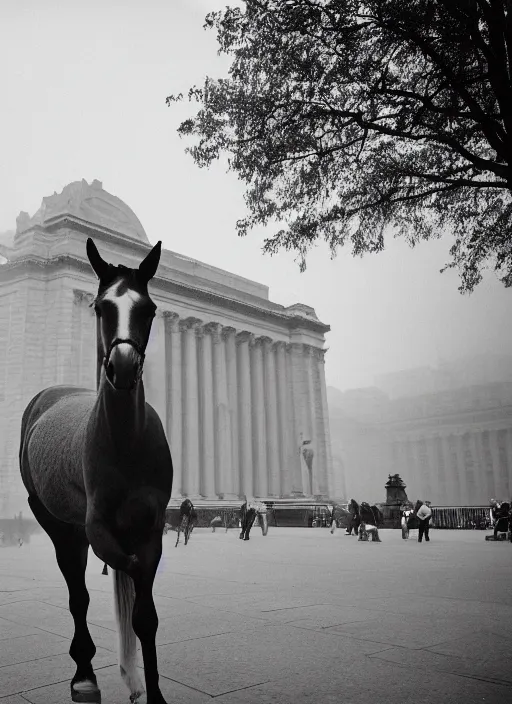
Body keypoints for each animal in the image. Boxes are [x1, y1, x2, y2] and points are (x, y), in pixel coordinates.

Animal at [19, 238, 173, 704]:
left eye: (149, 309)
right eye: (101, 307)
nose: (122, 368)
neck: (126, 442)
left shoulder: (153, 527)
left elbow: (145, 613)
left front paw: (150, 689)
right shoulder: (98, 525)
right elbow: (119, 578)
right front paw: (129, 673)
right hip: (52, 519)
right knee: (77, 593)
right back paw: (84, 672)